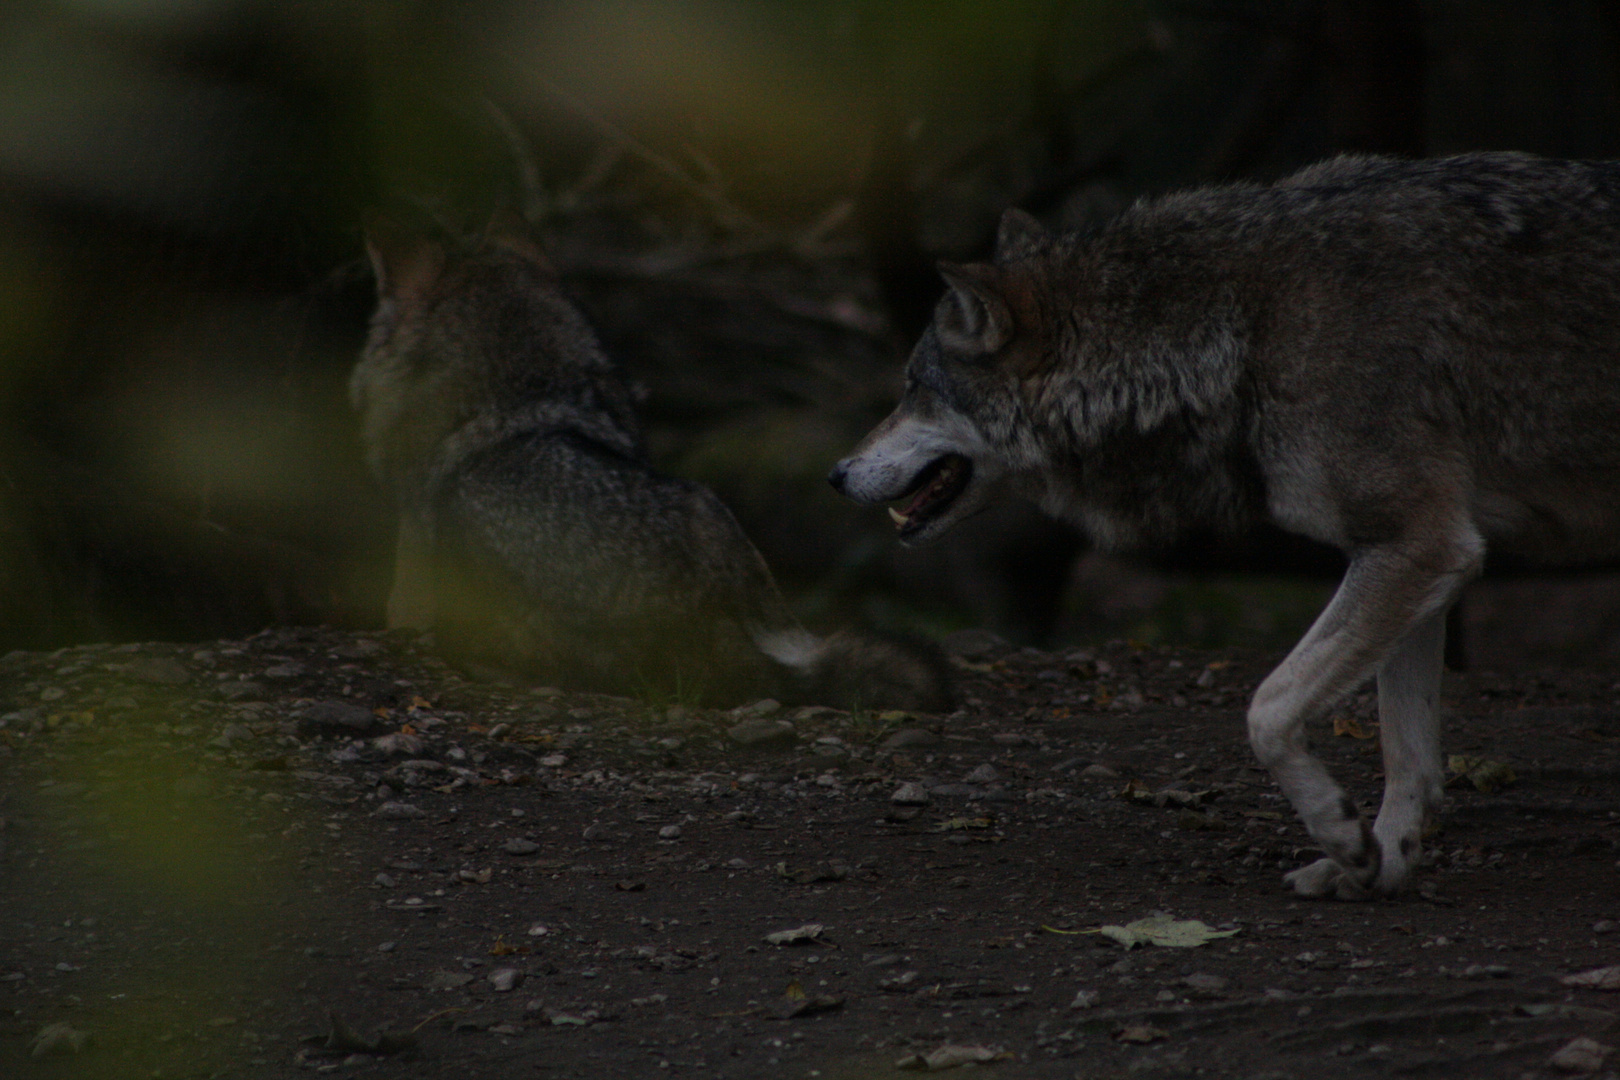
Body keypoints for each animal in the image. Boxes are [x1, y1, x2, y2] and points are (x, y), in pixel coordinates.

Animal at [829, 149, 1620, 893]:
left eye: (913, 388)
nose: (835, 474)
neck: (1240, 326)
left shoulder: (1422, 546)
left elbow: (1266, 710)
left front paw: (1340, 832)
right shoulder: (1413, 554)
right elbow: (1409, 757)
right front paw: (1379, 867)